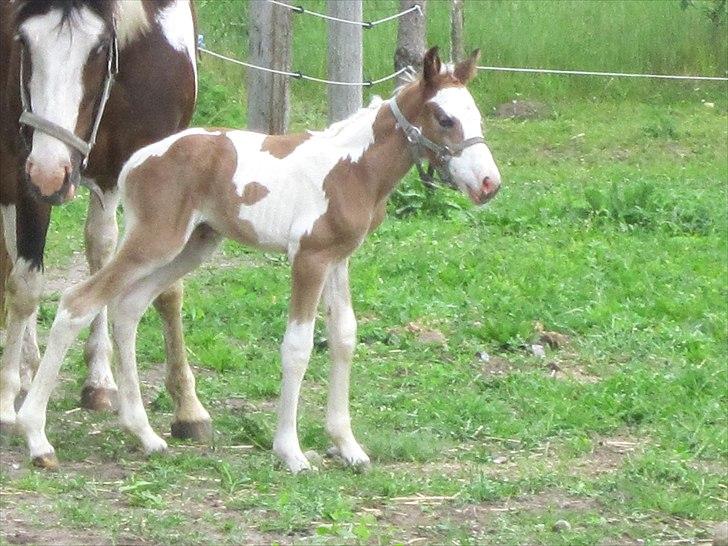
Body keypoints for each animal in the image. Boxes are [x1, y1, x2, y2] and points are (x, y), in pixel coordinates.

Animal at [0, 0, 209, 442]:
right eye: (23, 40)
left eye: (99, 47)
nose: (50, 174)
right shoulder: (17, 168)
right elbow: (25, 286)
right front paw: (7, 401)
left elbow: (168, 290)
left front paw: (187, 407)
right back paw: (26, 371)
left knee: (99, 248)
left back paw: (98, 381)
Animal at [17, 47, 500, 472]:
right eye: (445, 118)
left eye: (477, 117)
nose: (489, 183)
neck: (352, 167)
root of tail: (136, 161)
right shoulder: (309, 258)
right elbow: (298, 347)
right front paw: (291, 452)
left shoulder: (339, 259)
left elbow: (344, 338)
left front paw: (348, 447)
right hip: (155, 240)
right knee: (79, 302)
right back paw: (36, 436)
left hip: (192, 245)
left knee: (128, 307)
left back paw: (145, 434)